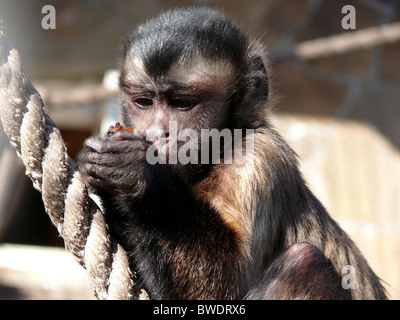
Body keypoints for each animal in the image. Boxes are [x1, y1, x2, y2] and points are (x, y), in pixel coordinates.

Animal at [76, 8, 388, 300]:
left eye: (181, 103)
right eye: (144, 102)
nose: (157, 133)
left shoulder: (258, 159)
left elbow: (221, 288)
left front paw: (132, 172)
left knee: (303, 264)